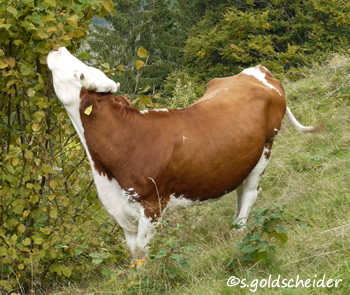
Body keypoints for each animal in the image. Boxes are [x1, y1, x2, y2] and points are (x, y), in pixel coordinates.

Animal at [47, 46, 322, 262]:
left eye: (78, 72)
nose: (58, 48)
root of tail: (258, 70)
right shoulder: (122, 211)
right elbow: (134, 252)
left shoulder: (152, 205)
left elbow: (144, 250)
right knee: (241, 190)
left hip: (266, 148)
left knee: (250, 194)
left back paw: (239, 232)